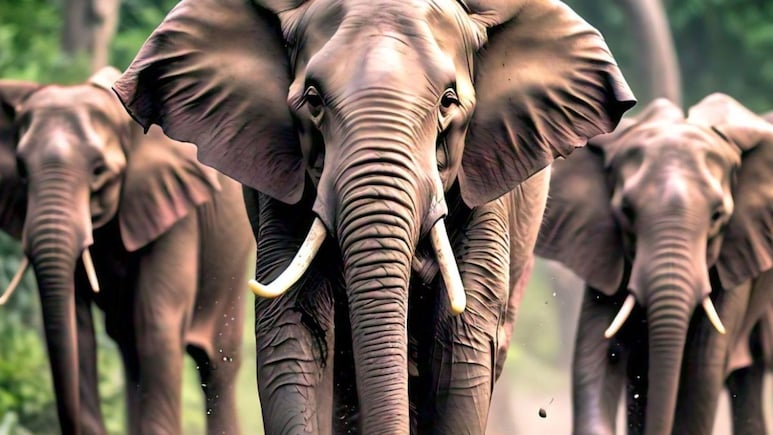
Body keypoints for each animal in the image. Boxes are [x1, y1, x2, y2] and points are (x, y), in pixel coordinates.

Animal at [0, 67, 253, 435]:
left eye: (98, 171)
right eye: (20, 170)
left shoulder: (176, 211)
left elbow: (157, 324)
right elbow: (79, 332)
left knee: (216, 362)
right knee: (130, 349)